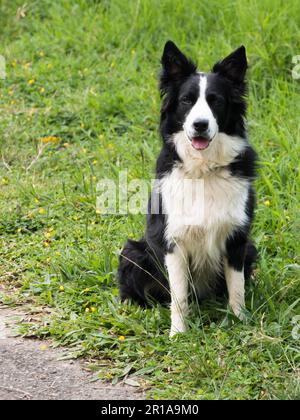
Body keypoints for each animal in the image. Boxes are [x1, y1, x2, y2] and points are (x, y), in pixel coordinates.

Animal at [118, 41, 256, 338]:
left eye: (216, 100)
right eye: (186, 101)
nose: (200, 125)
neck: (203, 169)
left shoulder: (237, 238)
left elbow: (237, 288)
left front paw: (240, 322)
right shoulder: (174, 241)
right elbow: (179, 295)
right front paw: (178, 333)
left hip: (250, 248)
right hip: (133, 252)